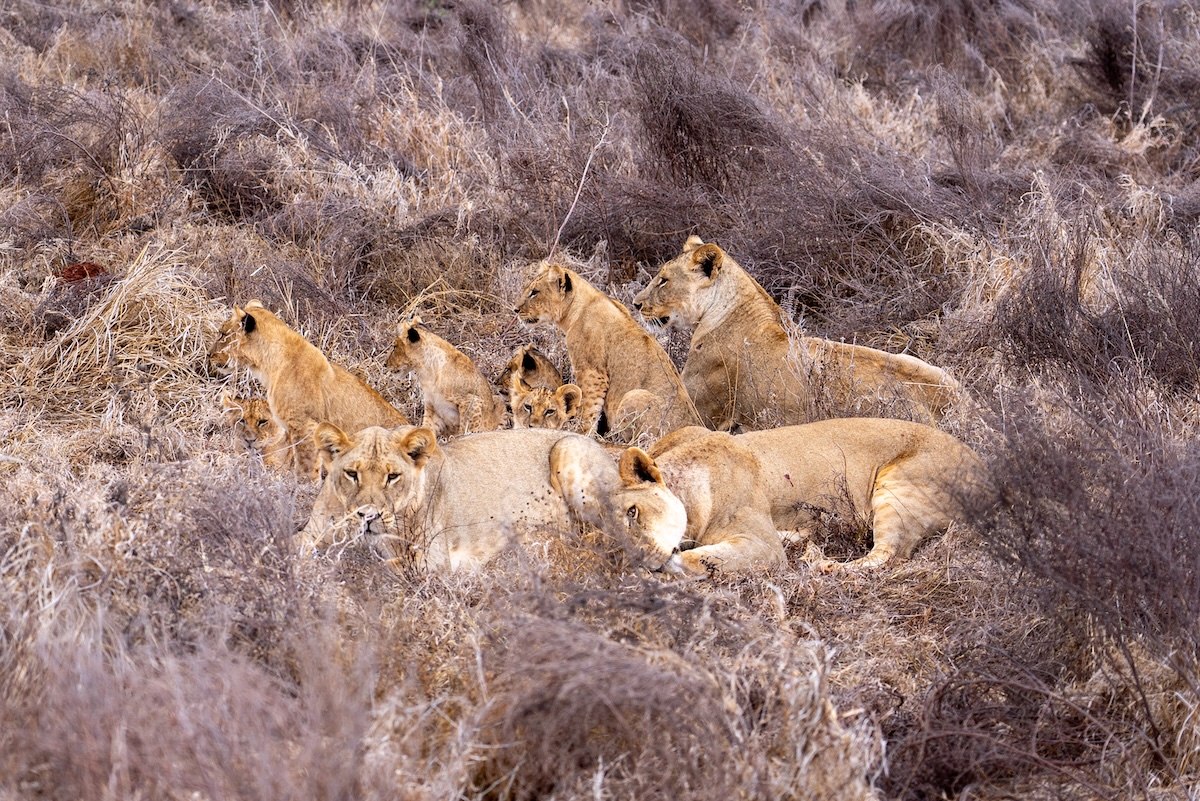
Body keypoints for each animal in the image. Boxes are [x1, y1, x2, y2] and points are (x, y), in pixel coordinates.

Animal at [300, 424, 617, 572]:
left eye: (393, 477)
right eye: (352, 474)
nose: (368, 515)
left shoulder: (432, 562)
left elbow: (375, 566)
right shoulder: (312, 532)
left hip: (568, 449)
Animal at [515, 261, 701, 441]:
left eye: (534, 292)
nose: (516, 309)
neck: (577, 309)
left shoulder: (592, 373)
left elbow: (588, 409)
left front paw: (580, 433)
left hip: (633, 396)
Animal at [575, 419, 990, 575]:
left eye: (633, 511)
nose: (632, 560)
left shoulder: (761, 543)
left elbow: (706, 557)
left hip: (899, 487)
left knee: (887, 556)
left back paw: (820, 563)